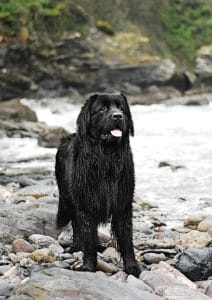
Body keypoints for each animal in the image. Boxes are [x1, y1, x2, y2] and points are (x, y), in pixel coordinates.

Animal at [55, 92, 140, 278]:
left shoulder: (123, 203)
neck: (106, 158)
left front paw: (132, 267)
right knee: (76, 223)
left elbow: (126, 238)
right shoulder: (86, 204)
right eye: (102, 109)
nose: (118, 116)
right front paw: (88, 266)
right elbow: (87, 235)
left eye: (121, 108)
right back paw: (76, 246)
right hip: (68, 197)